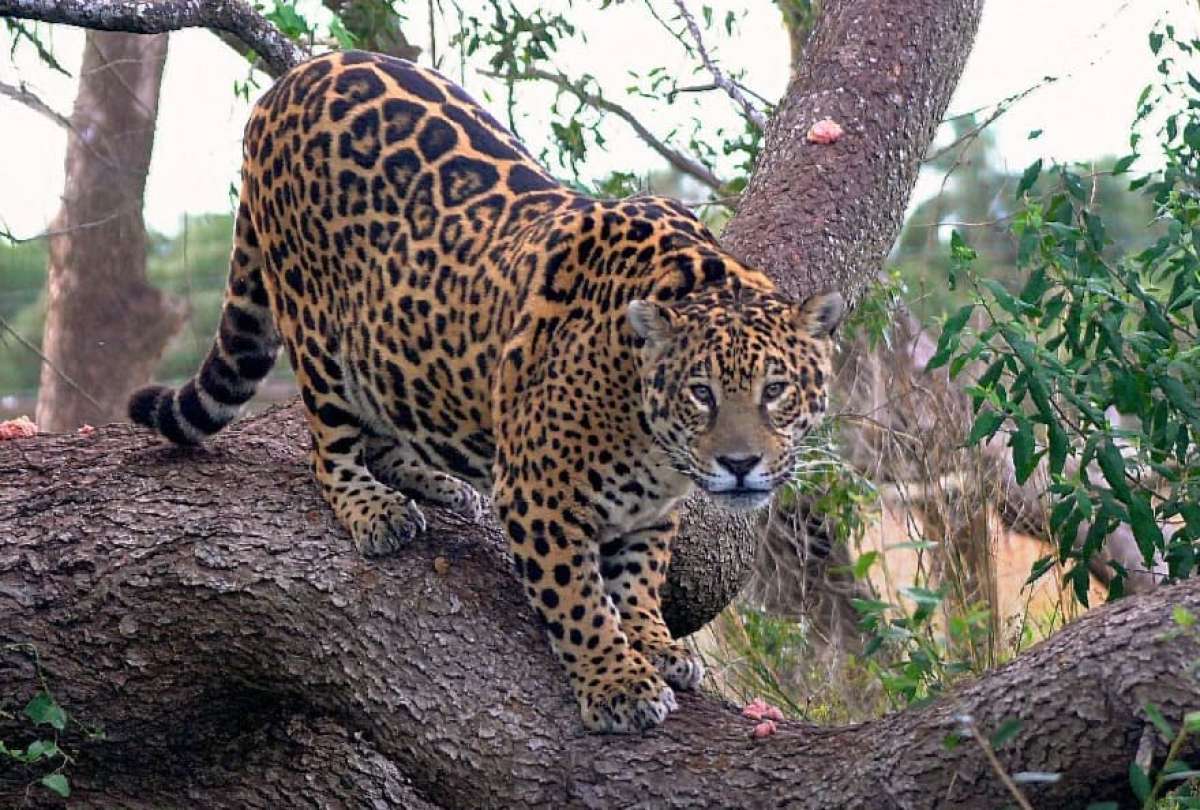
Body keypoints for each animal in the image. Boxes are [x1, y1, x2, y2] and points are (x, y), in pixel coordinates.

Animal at [128, 50, 844, 733]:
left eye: (775, 389)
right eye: (701, 393)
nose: (740, 465)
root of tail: (292, 79)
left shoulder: (654, 511)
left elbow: (640, 578)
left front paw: (654, 643)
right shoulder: (540, 494)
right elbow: (580, 600)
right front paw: (617, 684)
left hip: (395, 348)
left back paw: (437, 483)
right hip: (317, 330)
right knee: (327, 451)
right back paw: (373, 509)